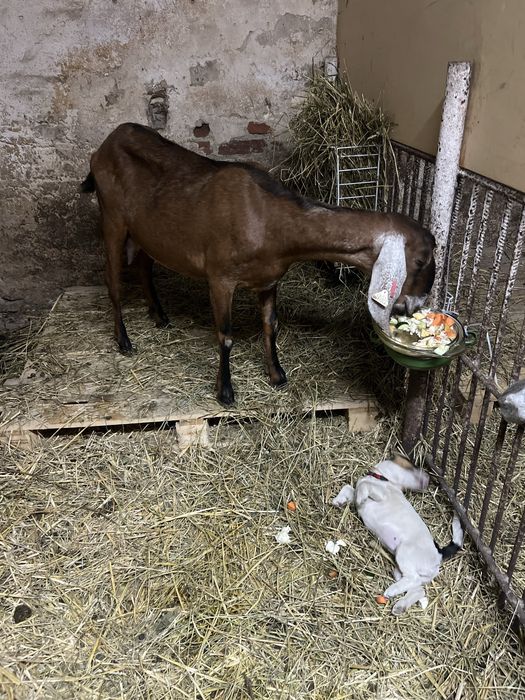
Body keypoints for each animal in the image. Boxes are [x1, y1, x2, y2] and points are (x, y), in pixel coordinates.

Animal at [81, 123, 435, 405]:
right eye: (421, 259)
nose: (415, 305)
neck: (269, 220)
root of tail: (105, 145)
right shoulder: (220, 278)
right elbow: (225, 335)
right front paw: (225, 392)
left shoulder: (269, 280)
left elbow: (271, 326)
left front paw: (277, 375)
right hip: (112, 218)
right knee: (113, 281)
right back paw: (124, 341)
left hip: (145, 232)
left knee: (143, 266)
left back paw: (159, 315)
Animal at [333, 455, 463, 615]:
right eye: (413, 466)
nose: (429, 478)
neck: (382, 478)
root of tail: (439, 553)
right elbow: (348, 487)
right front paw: (338, 500)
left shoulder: (380, 494)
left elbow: (364, 487)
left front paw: (360, 498)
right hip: (402, 572)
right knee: (418, 589)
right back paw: (401, 605)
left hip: (404, 552)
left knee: (413, 580)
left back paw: (392, 591)